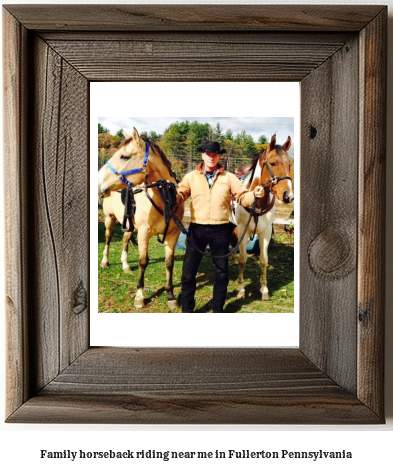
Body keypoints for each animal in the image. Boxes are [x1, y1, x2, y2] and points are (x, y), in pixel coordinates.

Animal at [98, 128, 184, 310]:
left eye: (124, 156)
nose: (97, 183)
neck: (165, 199)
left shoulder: (172, 235)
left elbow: (169, 263)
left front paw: (171, 296)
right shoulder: (144, 233)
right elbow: (143, 261)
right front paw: (139, 296)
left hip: (129, 226)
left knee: (125, 240)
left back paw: (125, 265)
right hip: (109, 219)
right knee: (108, 238)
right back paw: (105, 262)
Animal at [234, 134, 292, 300]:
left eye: (290, 164)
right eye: (272, 163)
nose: (288, 195)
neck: (256, 202)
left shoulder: (265, 233)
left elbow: (264, 260)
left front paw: (264, 289)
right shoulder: (243, 230)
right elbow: (243, 259)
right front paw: (241, 289)